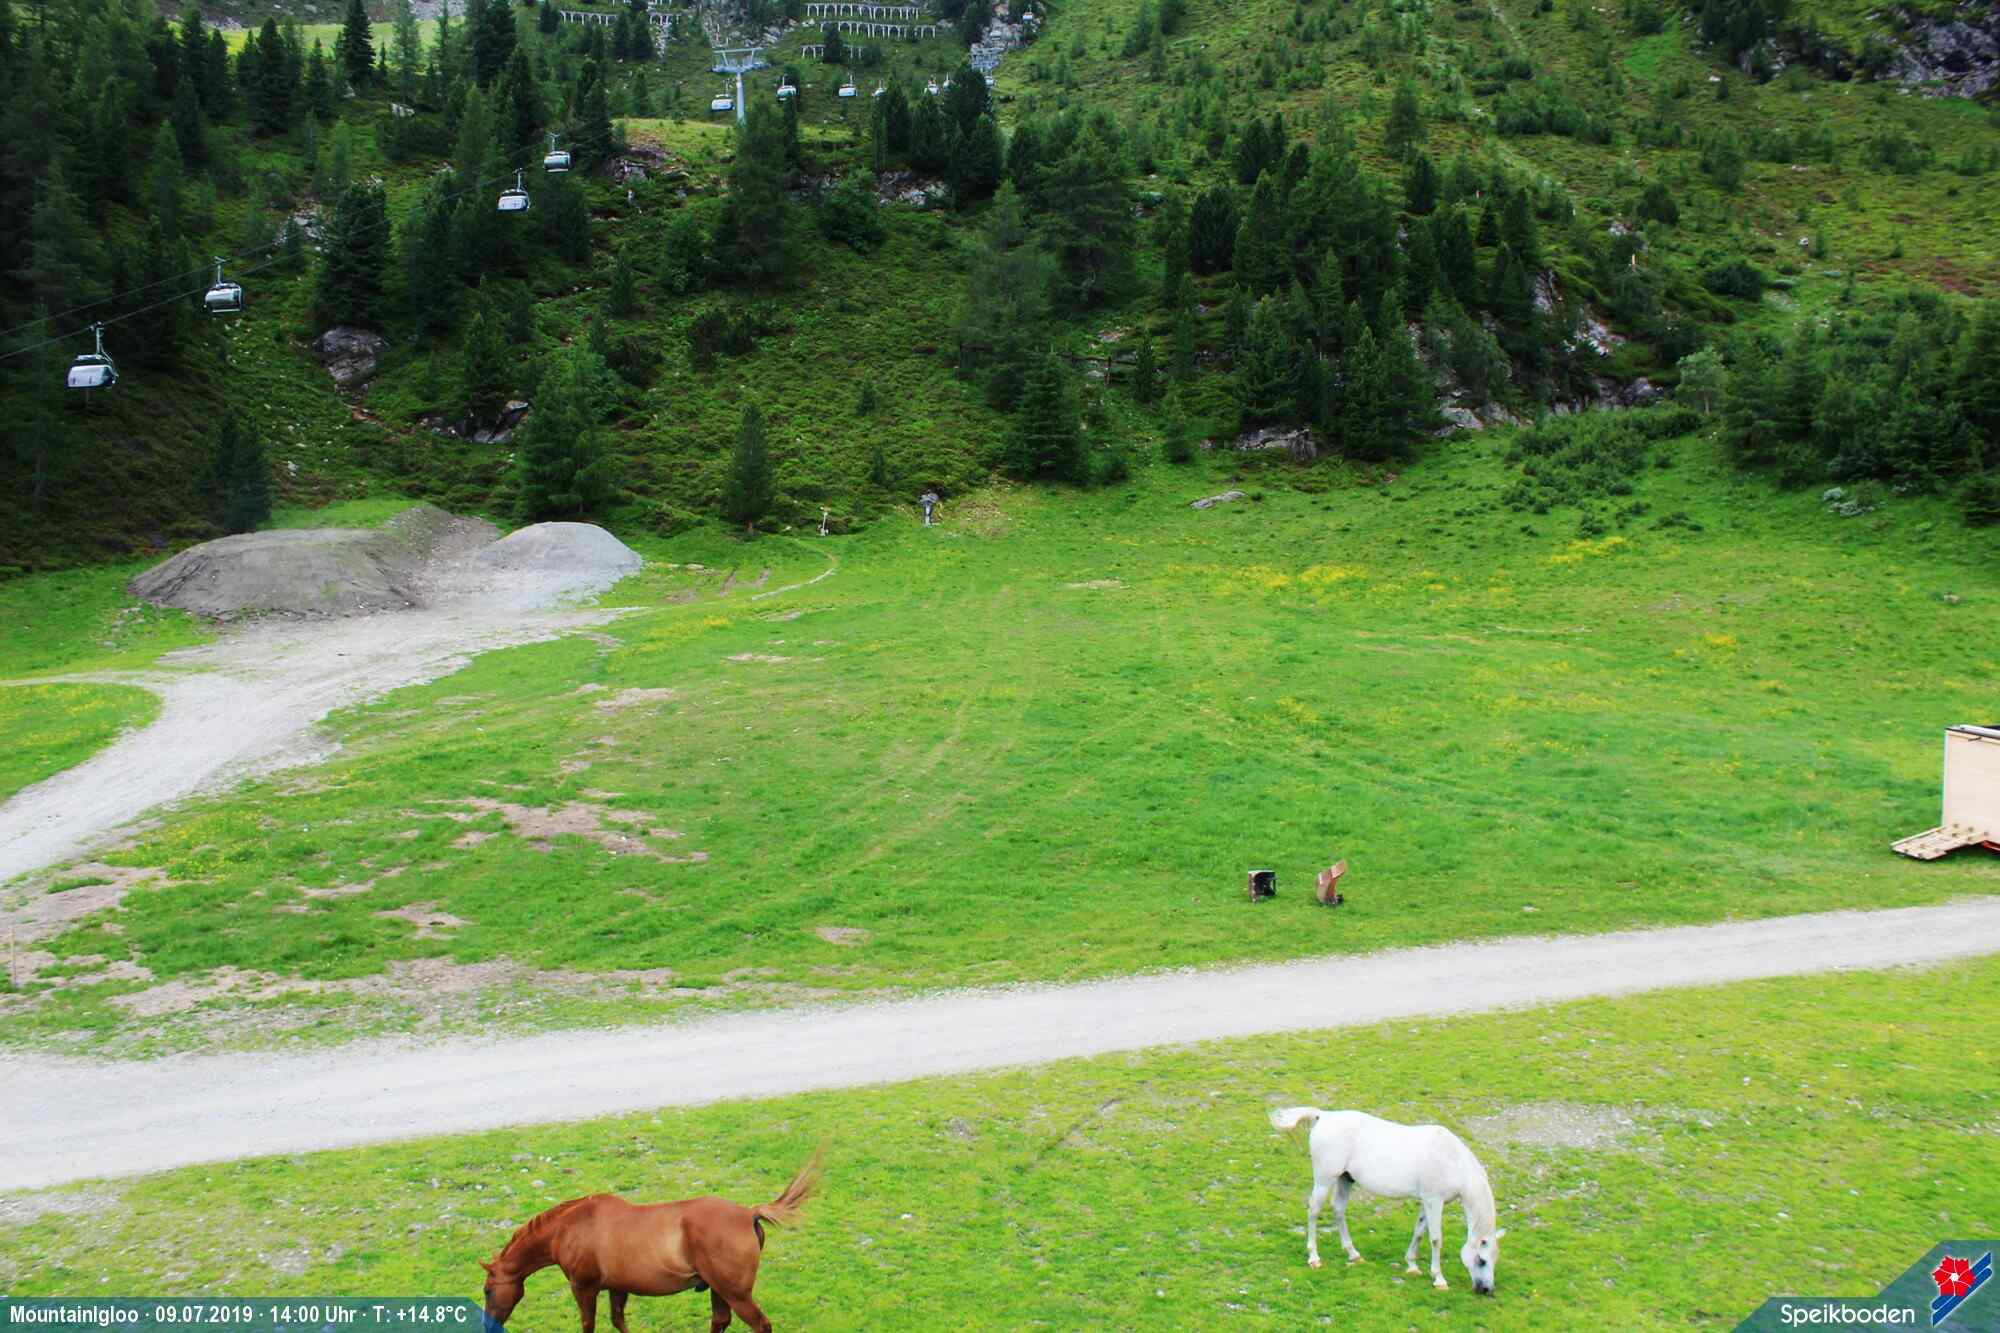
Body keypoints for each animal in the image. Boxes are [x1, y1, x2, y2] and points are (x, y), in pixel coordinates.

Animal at [479, 1154, 819, 1333]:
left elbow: (589, 1324)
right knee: (721, 1321)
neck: (570, 1228)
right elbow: (618, 1320)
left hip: (735, 1292)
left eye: (487, 1290)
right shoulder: (617, 1287)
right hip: (720, 1289)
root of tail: (749, 1213)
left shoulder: (584, 1287)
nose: (488, 1325)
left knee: (759, 1325)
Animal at [1269, 1106, 1504, 1295]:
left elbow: (1419, 1232)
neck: (1451, 1159)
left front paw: (1412, 1266)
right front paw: (1439, 1279)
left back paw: (1353, 1254)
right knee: (1314, 1211)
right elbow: (1435, 1238)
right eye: (1482, 1260)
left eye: (1493, 1259)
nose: (1486, 1289)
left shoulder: (1427, 1202)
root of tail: (1324, 1116)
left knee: (1338, 1210)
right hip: (1324, 1180)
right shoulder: (1434, 1201)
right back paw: (1314, 1258)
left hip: (1345, 1179)